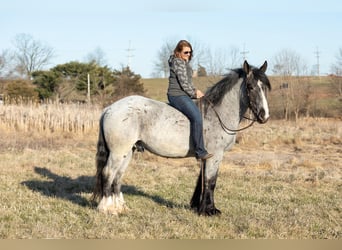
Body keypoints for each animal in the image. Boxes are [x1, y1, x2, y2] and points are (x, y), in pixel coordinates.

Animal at [92, 60, 272, 215]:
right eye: (250, 87)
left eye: (265, 87)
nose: (265, 116)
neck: (218, 114)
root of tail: (110, 108)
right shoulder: (216, 155)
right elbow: (211, 181)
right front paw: (209, 211)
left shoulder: (208, 157)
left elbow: (203, 181)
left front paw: (200, 207)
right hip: (118, 152)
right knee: (108, 173)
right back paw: (107, 208)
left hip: (128, 152)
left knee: (118, 176)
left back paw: (120, 207)